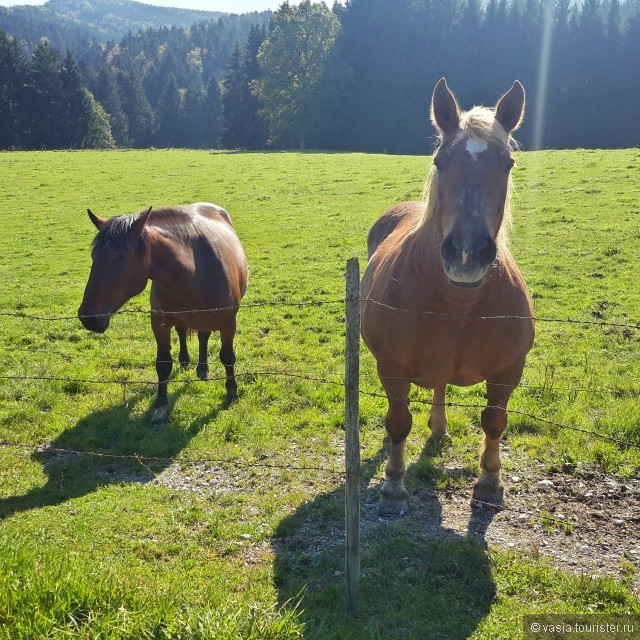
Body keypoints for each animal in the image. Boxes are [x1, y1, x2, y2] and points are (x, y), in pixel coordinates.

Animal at [79, 202, 249, 422]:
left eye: (120, 257)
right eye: (94, 256)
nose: (88, 318)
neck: (194, 269)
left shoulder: (228, 323)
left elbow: (227, 357)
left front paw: (232, 392)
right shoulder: (159, 323)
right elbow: (163, 363)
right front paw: (160, 404)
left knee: (203, 336)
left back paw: (203, 368)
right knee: (185, 332)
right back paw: (188, 362)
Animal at [360, 79, 536, 516]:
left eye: (507, 163)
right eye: (441, 162)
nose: (467, 253)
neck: (460, 305)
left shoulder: (509, 371)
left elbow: (494, 422)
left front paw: (490, 482)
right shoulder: (391, 368)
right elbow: (398, 421)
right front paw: (393, 485)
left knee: (440, 389)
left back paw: (439, 428)